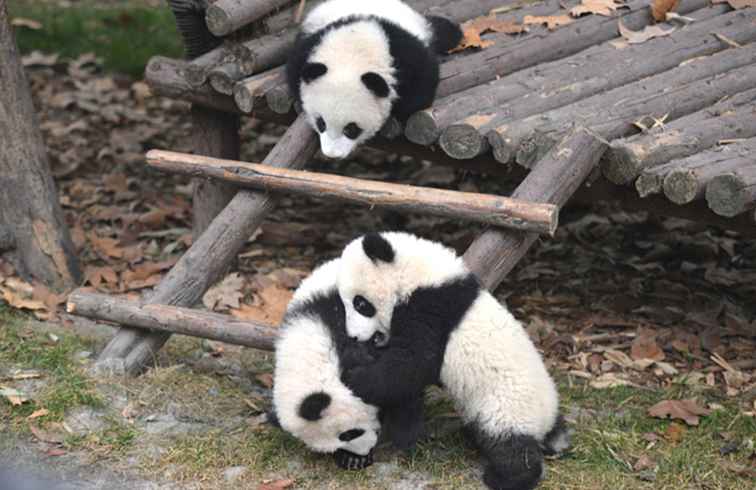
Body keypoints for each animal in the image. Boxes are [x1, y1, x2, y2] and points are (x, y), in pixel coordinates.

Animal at [288, 0, 460, 158]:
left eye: (351, 129)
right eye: (321, 123)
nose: (332, 154)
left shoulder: (407, 59)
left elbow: (419, 90)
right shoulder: (310, 46)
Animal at [336, 233, 568, 490]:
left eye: (360, 304)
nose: (354, 336)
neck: (417, 272)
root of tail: (546, 424)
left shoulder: (431, 308)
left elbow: (411, 364)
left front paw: (354, 375)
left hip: (506, 406)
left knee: (511, 447)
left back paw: (506, 478)